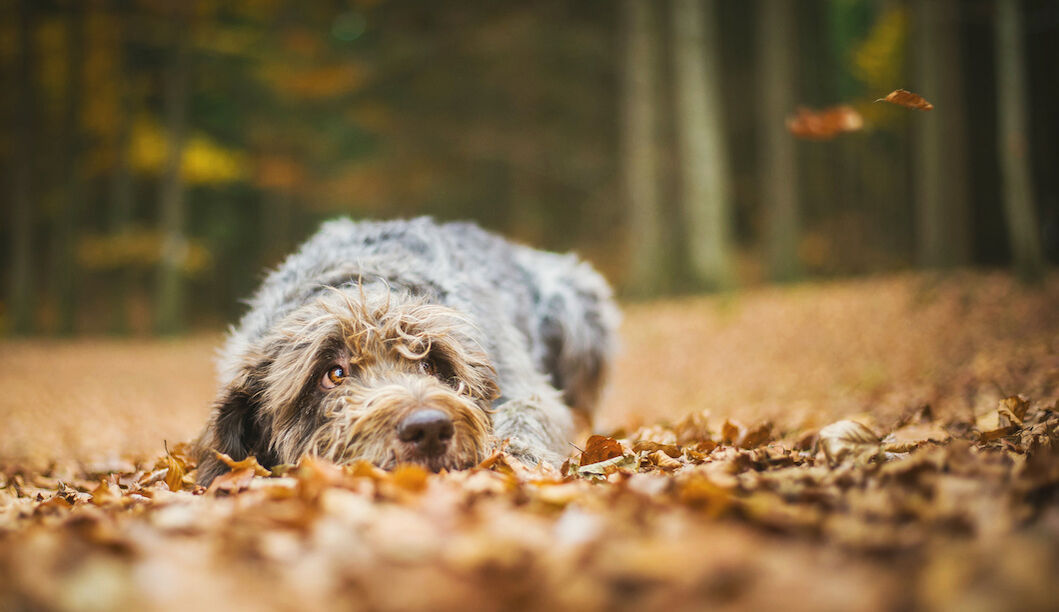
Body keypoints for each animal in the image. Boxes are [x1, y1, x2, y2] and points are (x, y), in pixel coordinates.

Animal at [194, 217, 618, 482]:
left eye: (430, 363)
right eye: (334, 373)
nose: (428, 428)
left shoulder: (525, 386)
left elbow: (527, 413)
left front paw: (517, 459)